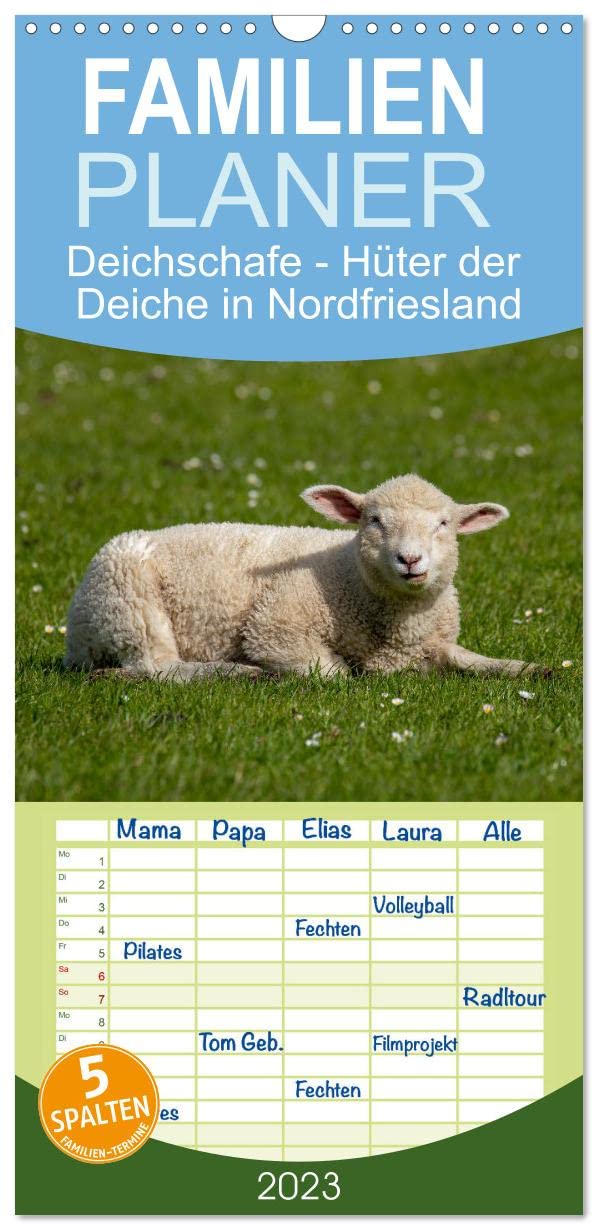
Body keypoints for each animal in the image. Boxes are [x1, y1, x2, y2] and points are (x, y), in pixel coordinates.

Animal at [64, 473, 538, 681]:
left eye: (443, 524)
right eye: (373, 520)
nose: (410, 559)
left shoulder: (436, 643)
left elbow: (469, 660)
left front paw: (528, 668)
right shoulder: (275, 630)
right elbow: (334, 675)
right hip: (130, 604)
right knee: (159, 668)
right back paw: (236, 672)